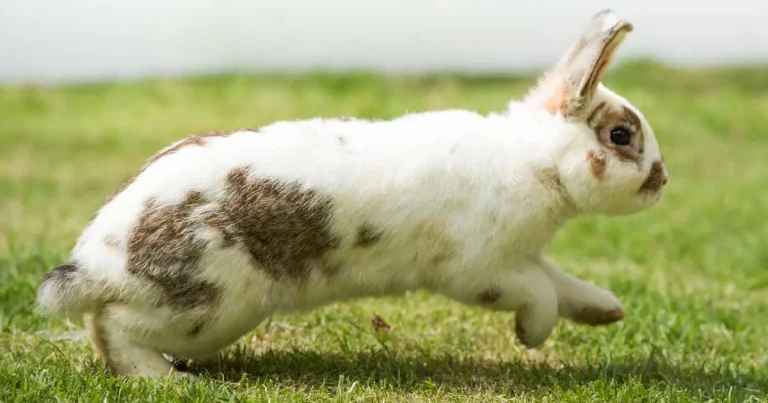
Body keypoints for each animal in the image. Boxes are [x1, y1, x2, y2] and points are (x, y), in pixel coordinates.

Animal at [35, 9, 668, 379]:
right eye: (620, 136)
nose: (662, 180)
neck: (537, 160)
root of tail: (96, 260)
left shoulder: (524, 254)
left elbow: (563, 284)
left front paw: (606, 310)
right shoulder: (480, 270)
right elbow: (539, 294)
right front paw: (530, 337)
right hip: (208, 308)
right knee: (110, 326)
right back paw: (166, 379)